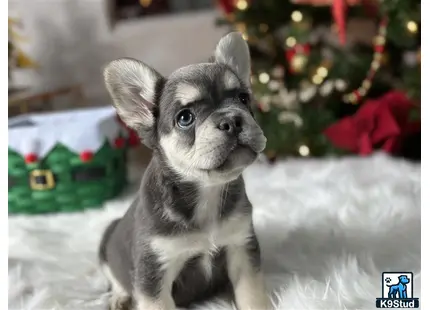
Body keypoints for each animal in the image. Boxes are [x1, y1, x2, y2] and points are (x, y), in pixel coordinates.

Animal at [99, 32, 270, 310]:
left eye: (243, 99)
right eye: (185, 118)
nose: (232, 120)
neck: (206, 191)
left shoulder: (241, 249)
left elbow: (251, 295)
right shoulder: (154, 273)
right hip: (106, 248)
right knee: (114, 277)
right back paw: (119, 297)